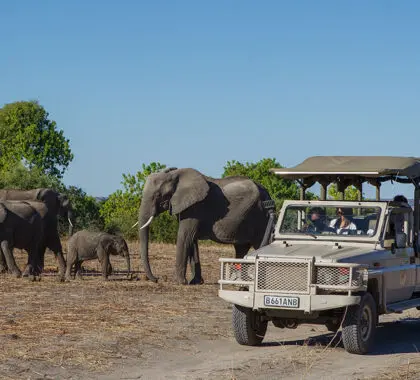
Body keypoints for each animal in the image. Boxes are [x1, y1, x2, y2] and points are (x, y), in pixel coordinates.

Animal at [139, 168, 276, 284]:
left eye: (158, 195)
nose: (157, 279)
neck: (175, 175)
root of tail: (268, 193)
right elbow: (192, 240)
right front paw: (195, 282)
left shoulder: (195, 207)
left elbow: (185, 237)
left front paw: (179, 282)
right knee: (241, 248)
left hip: (261, 218)